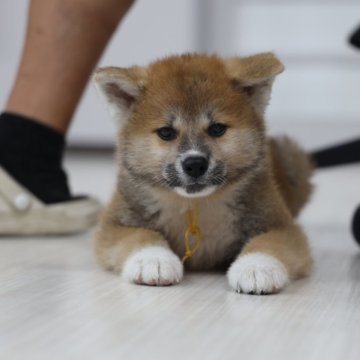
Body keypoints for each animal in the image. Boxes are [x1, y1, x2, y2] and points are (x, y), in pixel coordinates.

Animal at [93, 53, 312, 296]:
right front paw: (153, 260)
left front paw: (257, 266)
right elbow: (140, 235)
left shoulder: (281, 225)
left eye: (217, 129)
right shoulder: (114, 225)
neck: (195, 207)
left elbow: (268, 242)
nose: (195, 164)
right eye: (166, 132)